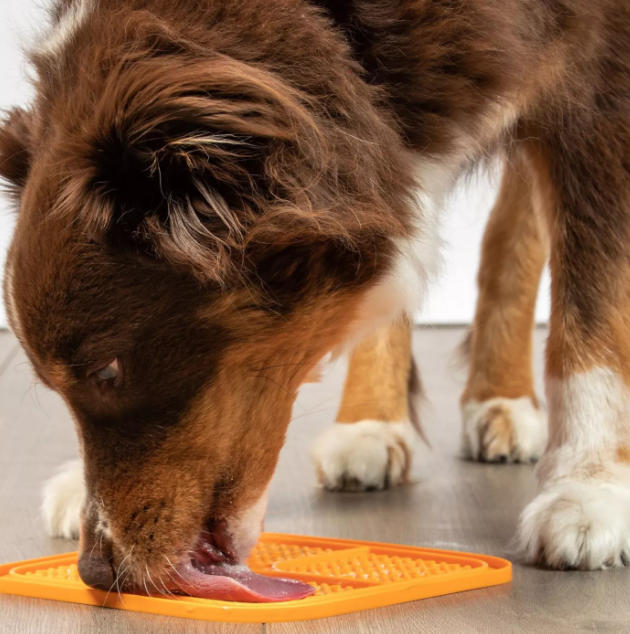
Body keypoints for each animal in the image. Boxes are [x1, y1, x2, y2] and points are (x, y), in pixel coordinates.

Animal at [1, 0, 630, 596]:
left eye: (107, 372)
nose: (97, 571)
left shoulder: (600, 66)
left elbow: (594, 304)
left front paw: (589, 489)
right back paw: (402, 416)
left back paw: (506, 401)